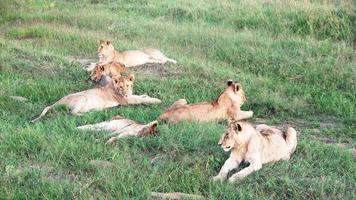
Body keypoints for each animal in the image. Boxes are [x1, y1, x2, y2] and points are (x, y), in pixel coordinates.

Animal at [30, 74, 161, 122]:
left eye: (128, 85)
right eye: (121, 87)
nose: (126, 93)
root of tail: (56, 103)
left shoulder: (130, 96)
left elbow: (140, 96)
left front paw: (147, 95)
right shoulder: (126, 101)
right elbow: (141, 99)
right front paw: (156, 100)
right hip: (82, 98)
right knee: (72, 113)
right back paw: (88, 114)